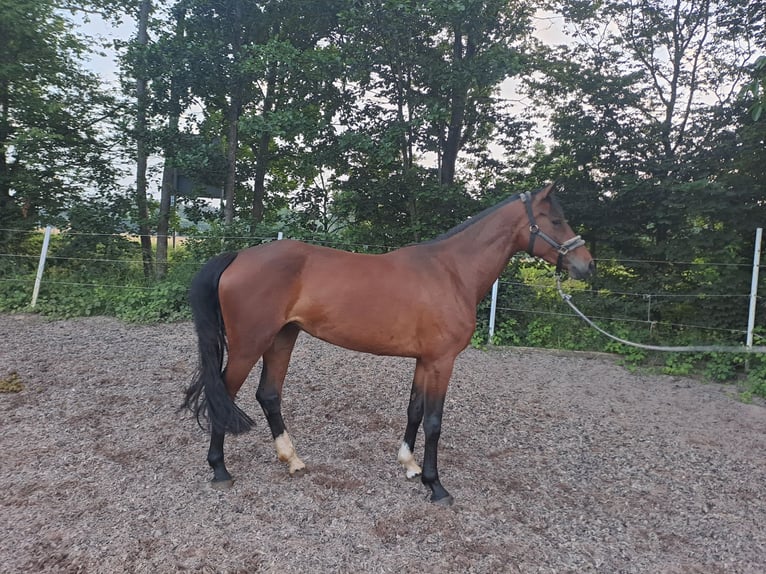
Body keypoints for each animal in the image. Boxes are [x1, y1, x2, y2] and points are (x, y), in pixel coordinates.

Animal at [183, 182, 596, 506]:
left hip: (282, 338)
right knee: (224, 394)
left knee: (268, 394)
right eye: (555, 220)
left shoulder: (425, 360)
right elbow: (434, 422)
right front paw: (436, 485)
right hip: (249, 344)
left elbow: (414, 411)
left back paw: (292, 459)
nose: (586, 265)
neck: (451, 273)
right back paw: (220, 469)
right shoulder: (442, 361)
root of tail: (239, 255)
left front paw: (410, 466)